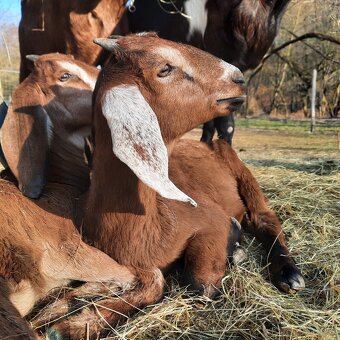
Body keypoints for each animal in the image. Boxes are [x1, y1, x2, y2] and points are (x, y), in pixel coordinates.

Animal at [29, 33, 302, 338]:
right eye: (165, 69)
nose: (238, 78)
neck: (146, 224)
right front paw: (71, 323)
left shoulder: (211, 220)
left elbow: (199, 286)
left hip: (241, 171)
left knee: (264, 218)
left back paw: (289, 274)